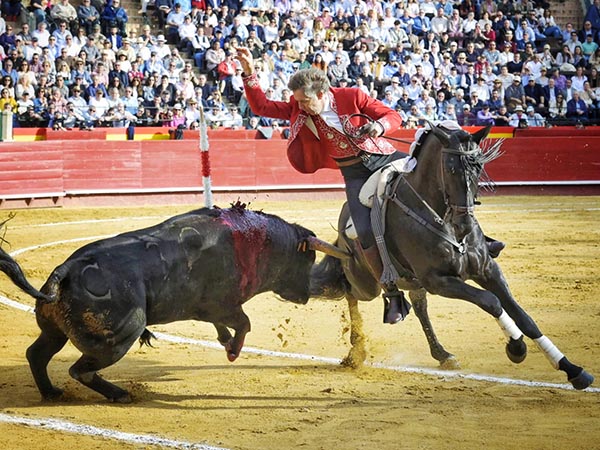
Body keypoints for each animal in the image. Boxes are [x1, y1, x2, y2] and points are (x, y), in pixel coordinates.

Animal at [0, 206, 344, 402]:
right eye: (307, 258)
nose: (307, 294)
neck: (254, 240)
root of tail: (66, 269)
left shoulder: (214, 311)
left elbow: (227, 326)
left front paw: (225, 341)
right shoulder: (223, 305)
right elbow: (245, 323)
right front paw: (232, 350)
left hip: (54, 330)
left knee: (37, 354)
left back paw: (51, 393)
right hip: (119, 337)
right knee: (80, 370)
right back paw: (120, 394)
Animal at [312, 121, 592, 388]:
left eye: (478, 168)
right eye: (451, 170)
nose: (464, 224)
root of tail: (344, 217)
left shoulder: (488, 270)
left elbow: (524, 317)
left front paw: (573, 370)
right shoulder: (439, 280)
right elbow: (491, 301)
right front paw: (516, 347)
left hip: (410, 280)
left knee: (419, 306)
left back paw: (442, 354)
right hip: (367, 281)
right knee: (349, 292)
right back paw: (356, 349)